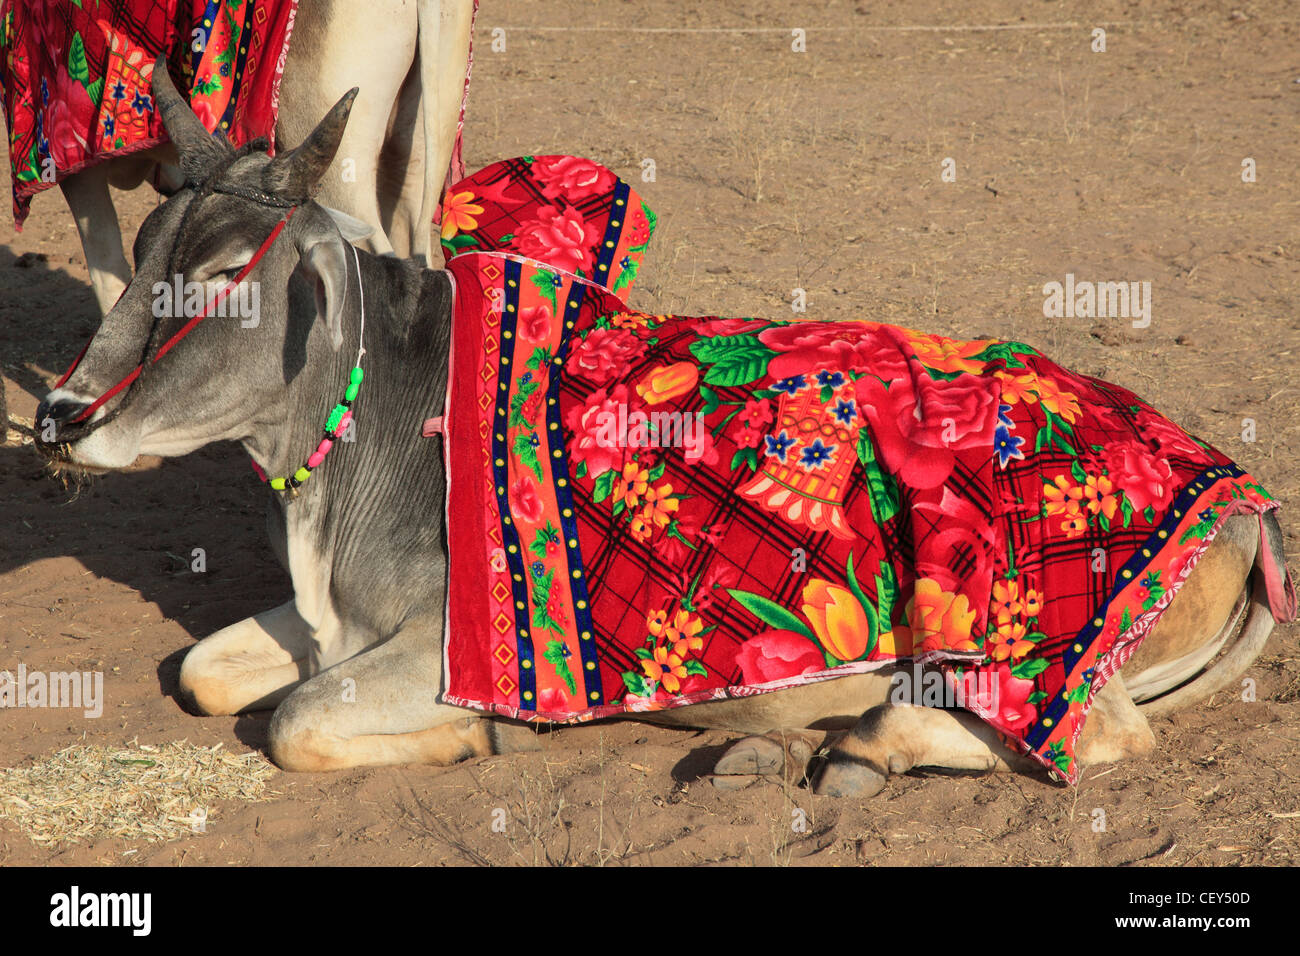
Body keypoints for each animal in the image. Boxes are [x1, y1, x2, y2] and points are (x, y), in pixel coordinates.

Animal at [35, 70, 1294, 796]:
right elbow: (204, 671)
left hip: (1016, 649)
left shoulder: (445, 654)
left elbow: (295, 720)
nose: (59, 415)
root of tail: (1239, 503)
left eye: (215, 274)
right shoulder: (327, 619)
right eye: (140, 250)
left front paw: (478, 746)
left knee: (1099, 737)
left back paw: (857, 743)